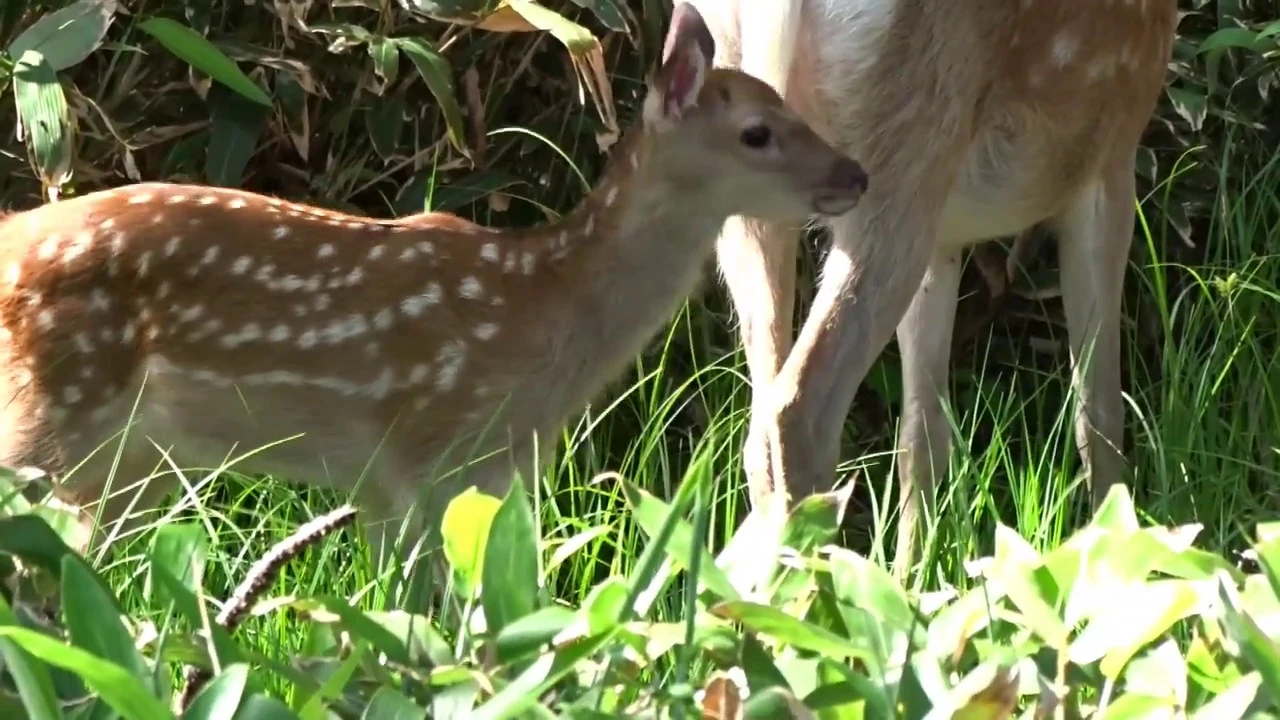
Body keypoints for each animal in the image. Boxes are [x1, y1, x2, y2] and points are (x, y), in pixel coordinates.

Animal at [0, 5, 870, 563]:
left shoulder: (453, 477)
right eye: (757, 133)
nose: (854, 175)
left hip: (131, 463)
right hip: (51, 415)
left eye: (790, 104)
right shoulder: (424, 447)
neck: (542, 311)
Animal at [691, 1, 1177, 571]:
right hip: (904, 150)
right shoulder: (1109, 155)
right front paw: (1119, 554)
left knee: (762, 421)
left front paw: (911, 582)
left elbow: (921, 438)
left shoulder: (943, 238)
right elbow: (1099, 413)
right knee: (795, 411)